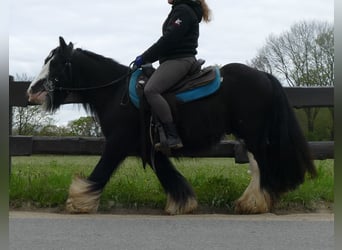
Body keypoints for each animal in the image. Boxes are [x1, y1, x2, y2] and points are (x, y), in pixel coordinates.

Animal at [26, 37, 316, 215]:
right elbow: (168, 174)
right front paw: (183, 203)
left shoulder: (118, 143)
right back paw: (252, 201)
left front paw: (79, 201)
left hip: (253, 134)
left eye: (57, 63)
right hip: (249, 135)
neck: (116, 92)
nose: (32, 91)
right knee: (258, 165)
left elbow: (101, 172)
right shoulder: (147, 147)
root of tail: (265, 76)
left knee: (263, 165)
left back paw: (256, 203)